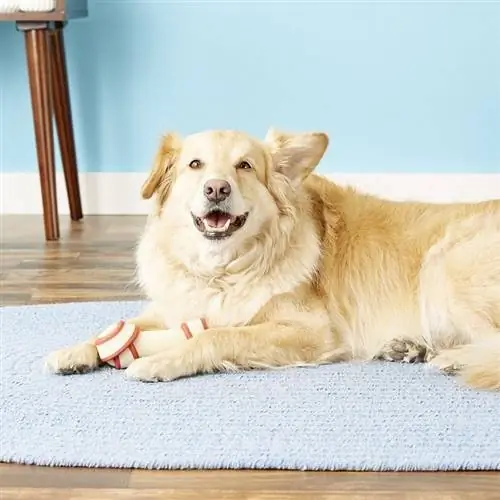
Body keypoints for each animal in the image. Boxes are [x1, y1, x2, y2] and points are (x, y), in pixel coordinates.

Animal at [46, 127, 500, 388]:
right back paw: (410, 347)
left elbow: (217, 335)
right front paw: (77, 351)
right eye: (195, 164)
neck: (222, 268)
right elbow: (119, 327)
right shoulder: (175, 306)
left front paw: (162, 360)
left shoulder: (312, 331)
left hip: (444, 268)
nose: (216, 189)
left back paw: (449, 359)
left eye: (245, 166)